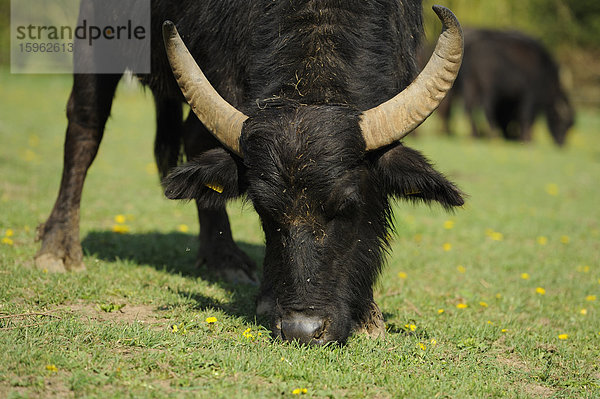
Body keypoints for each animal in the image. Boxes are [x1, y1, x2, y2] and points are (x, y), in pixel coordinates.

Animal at [35, 0, 464, 346]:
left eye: (347, 207)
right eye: (264, 211)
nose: (302, 330)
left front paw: (369, 313)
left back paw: (222, 256)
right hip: (96, 37)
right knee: (85, 125)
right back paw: (58, 248)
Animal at [434, 28, 576, 147]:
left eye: (570, 125)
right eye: (562, 122)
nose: (561, 144)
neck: (544, 69)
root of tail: (475, 47)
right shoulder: (529, 97)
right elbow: (526, 116)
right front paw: (527, 139)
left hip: (471, 85)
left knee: (468, 108)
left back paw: (474, 135)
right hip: (489, 90)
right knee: (486, 109)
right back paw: (493, 135)